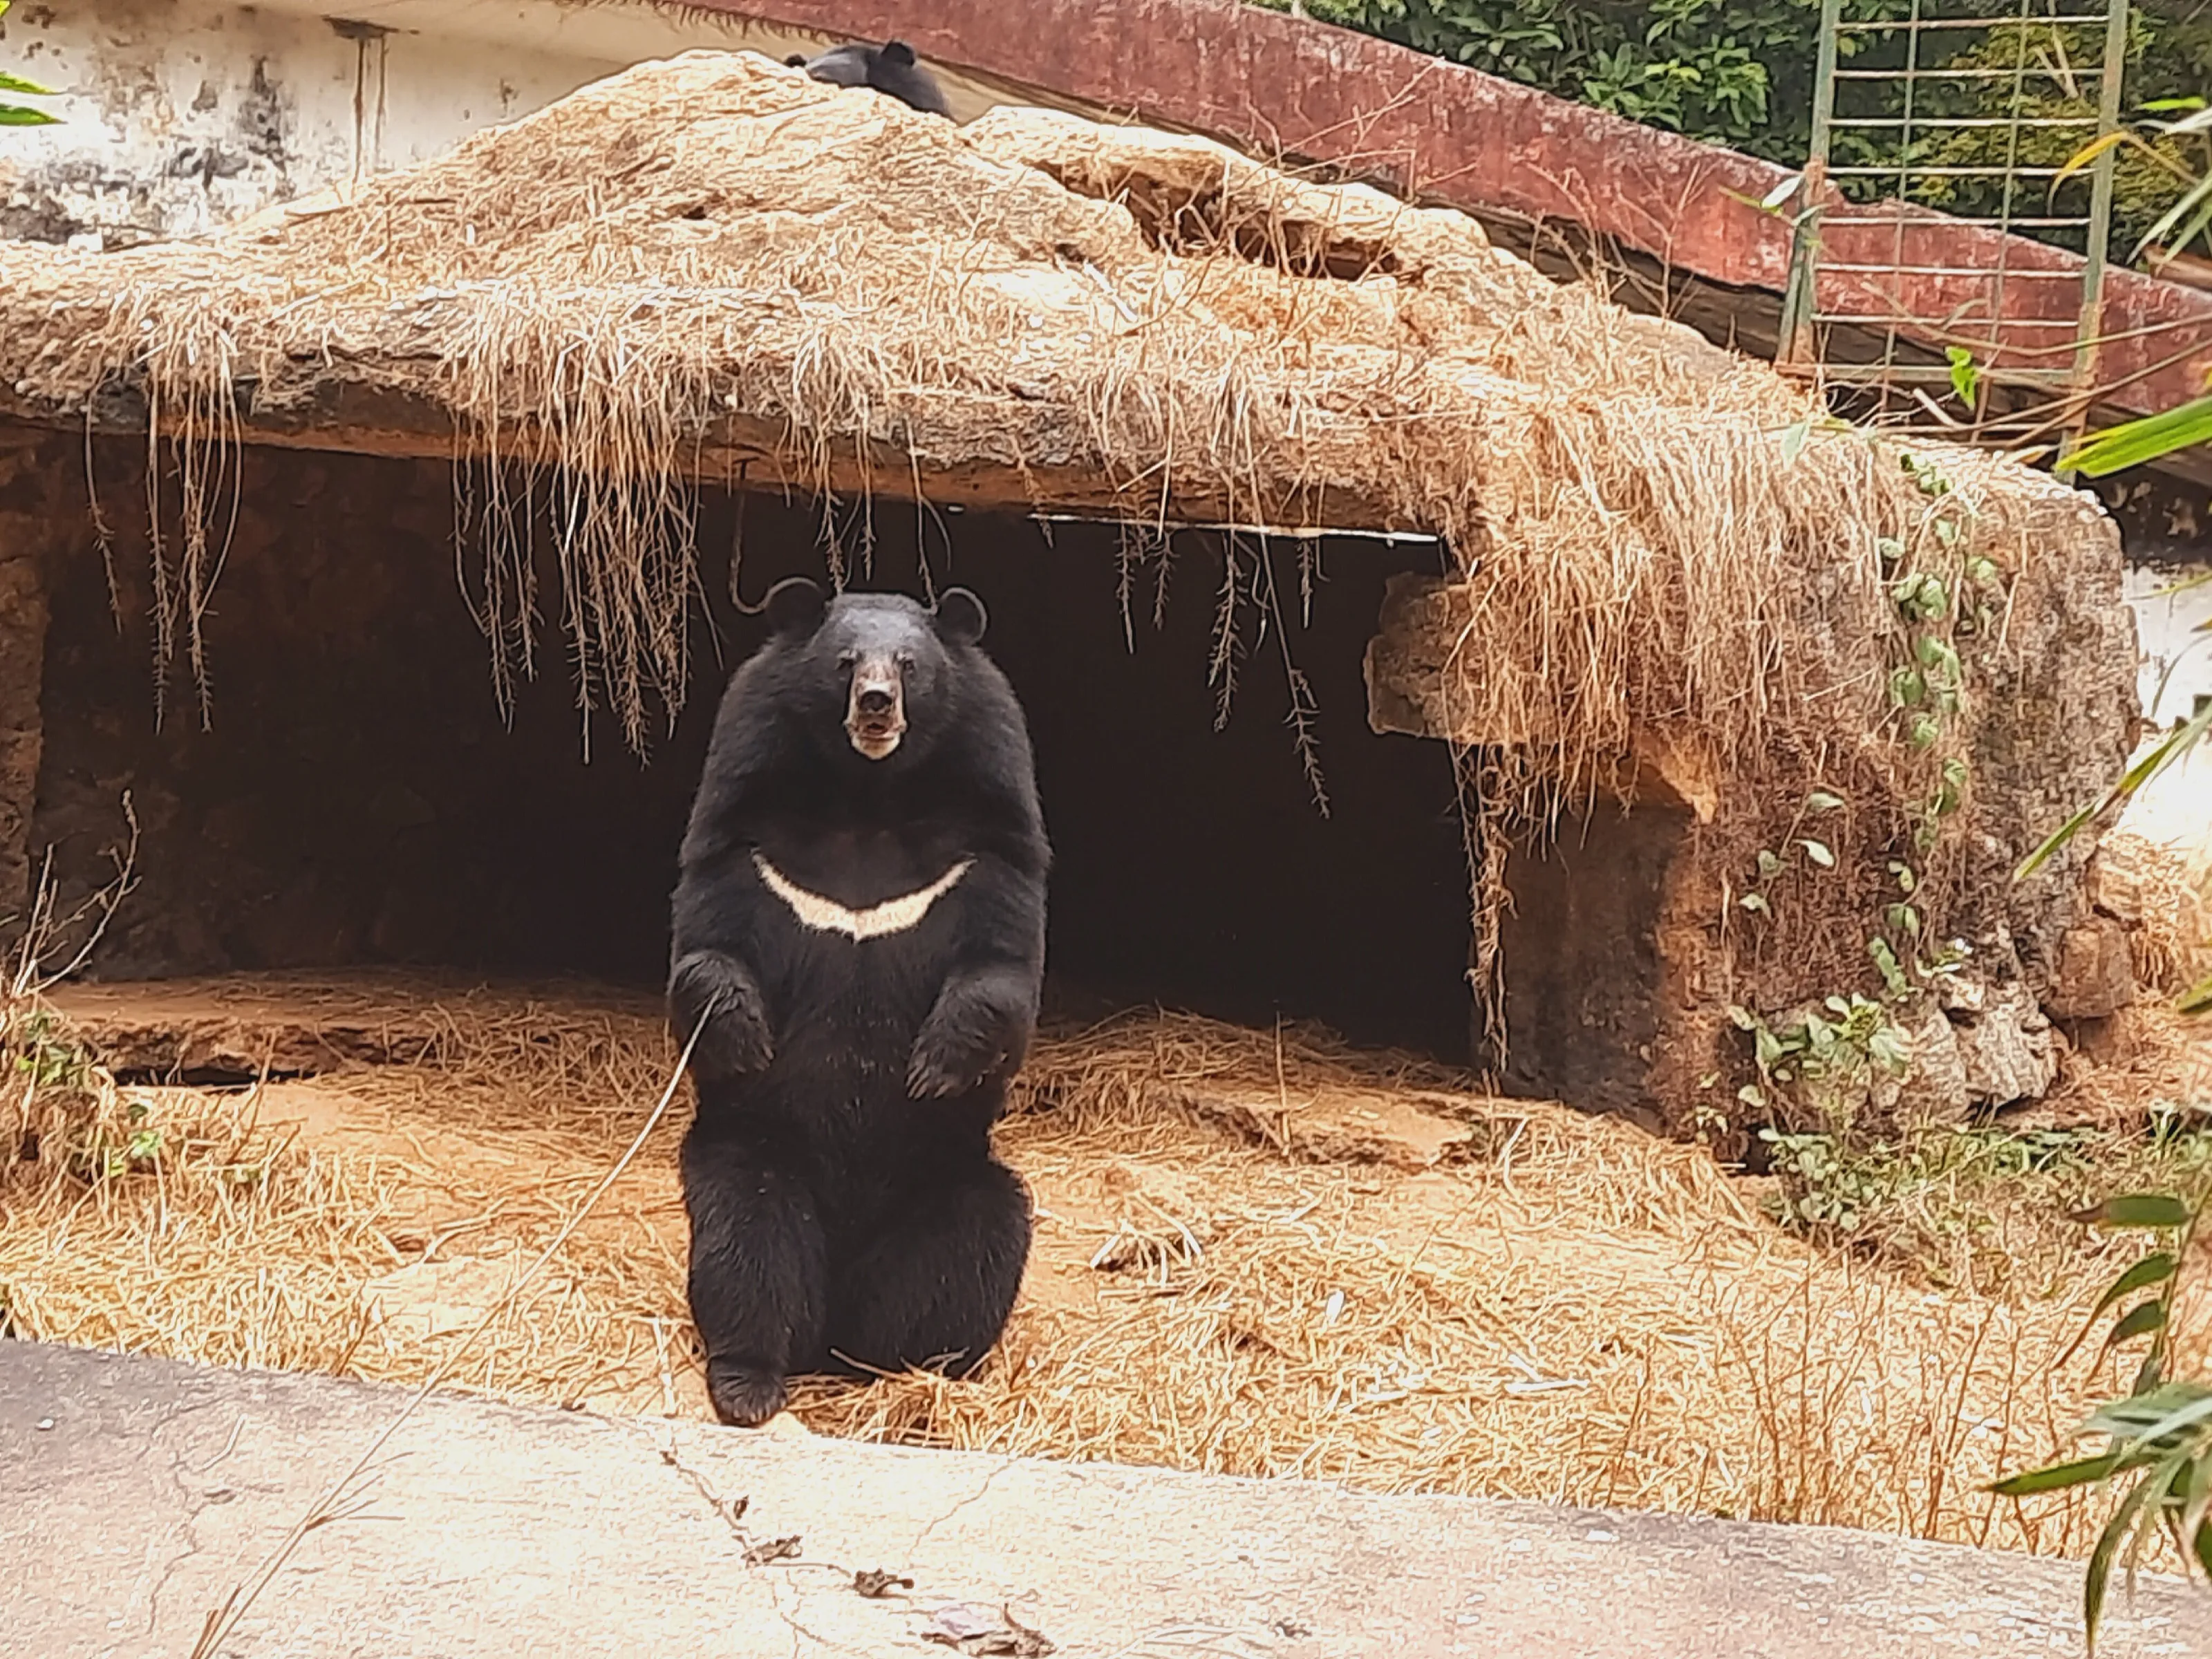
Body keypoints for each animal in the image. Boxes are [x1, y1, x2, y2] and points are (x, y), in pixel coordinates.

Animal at [668, 577, 1049, 1427]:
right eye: (845, 663)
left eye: (909, 665)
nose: (875, 706)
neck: (869, 798)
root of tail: (833, 1322)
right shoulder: (747, 838)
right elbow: (708, 941)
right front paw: (745, 1034)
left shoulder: (985, 845)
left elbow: (1003, 968)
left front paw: (934, 1066)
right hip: (757, 1155)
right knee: (747, 1247)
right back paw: (749, 1382)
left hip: (946, 1176)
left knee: (974, 1242)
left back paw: (911, 1371)